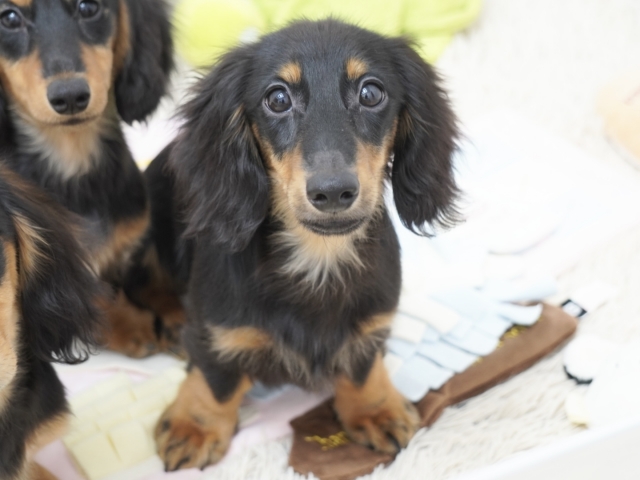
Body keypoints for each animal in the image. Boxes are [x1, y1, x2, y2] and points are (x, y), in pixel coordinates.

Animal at [0, 0, 177, 358]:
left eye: (88, 7)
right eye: (9, 17)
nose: (69, 96)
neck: (72, 162)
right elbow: (93, 295)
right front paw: (131, 325)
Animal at [144, 19, 459, 470]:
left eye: (371, 93)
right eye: (277, 99)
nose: (333, 191)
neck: (318, 255)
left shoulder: (371, 322)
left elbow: (362, 367)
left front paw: (374, 408)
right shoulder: (216, 326)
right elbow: (216, 378)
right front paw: (196, 426)